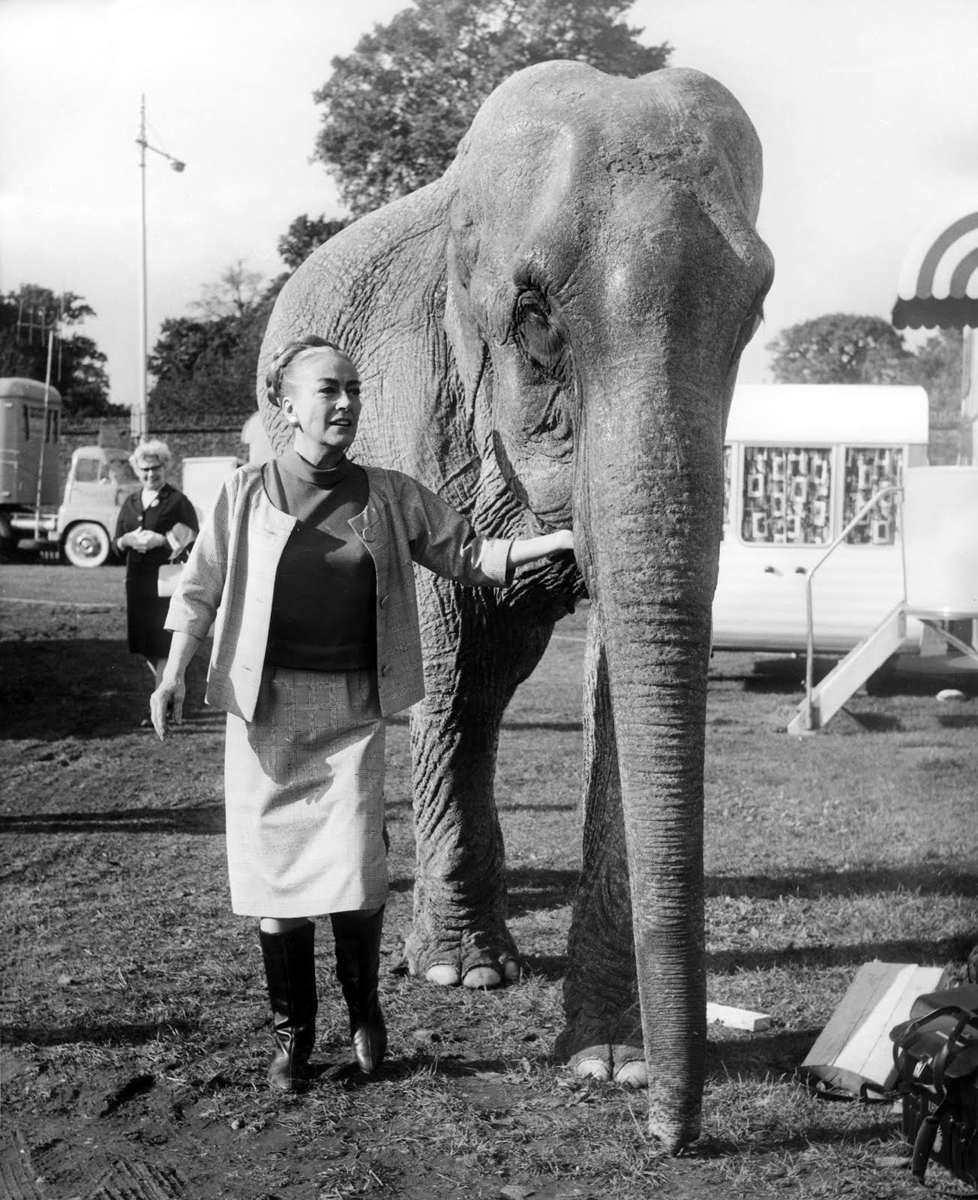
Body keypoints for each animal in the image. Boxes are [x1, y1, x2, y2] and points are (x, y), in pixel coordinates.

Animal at [258, 60, 772, 1147]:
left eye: (754, 315)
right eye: (533, 313)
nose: (673, 1138)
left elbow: (612, 659)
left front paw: (609, 1061)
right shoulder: (412, 394)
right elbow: (443, 634)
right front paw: (458, 975)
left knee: (499, 678)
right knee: (465, 676)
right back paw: (459, 955)